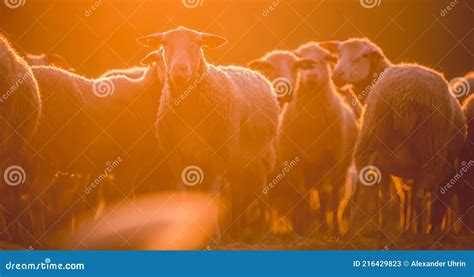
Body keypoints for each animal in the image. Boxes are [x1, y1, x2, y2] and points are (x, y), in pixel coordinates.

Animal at [25, 50, 168, 242]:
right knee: (35, 196)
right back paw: (40, 237)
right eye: (161, 59)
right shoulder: (128, 168)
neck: (145, 94)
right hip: (48, 154)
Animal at [137, 26, 280, 237]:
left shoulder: (218, 157)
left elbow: (212, 197)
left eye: (198, 44)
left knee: (262, 193)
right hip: (237, 163)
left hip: (262, 158)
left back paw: (262, 230)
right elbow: (183, 195)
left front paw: (215, 236)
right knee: (237, 195)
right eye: (164, 43)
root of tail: (253, 72)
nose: (179, 70)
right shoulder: (177, 158)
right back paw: (235, 231)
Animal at [332, 37, 468, 234]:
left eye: (362, 56)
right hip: (428, 149)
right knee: (421, 195)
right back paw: (419, 232)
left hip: (376, 140)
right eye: (339, 54)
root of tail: (405, 96)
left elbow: (386, 194)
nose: (336, 76)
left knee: (367, 189)